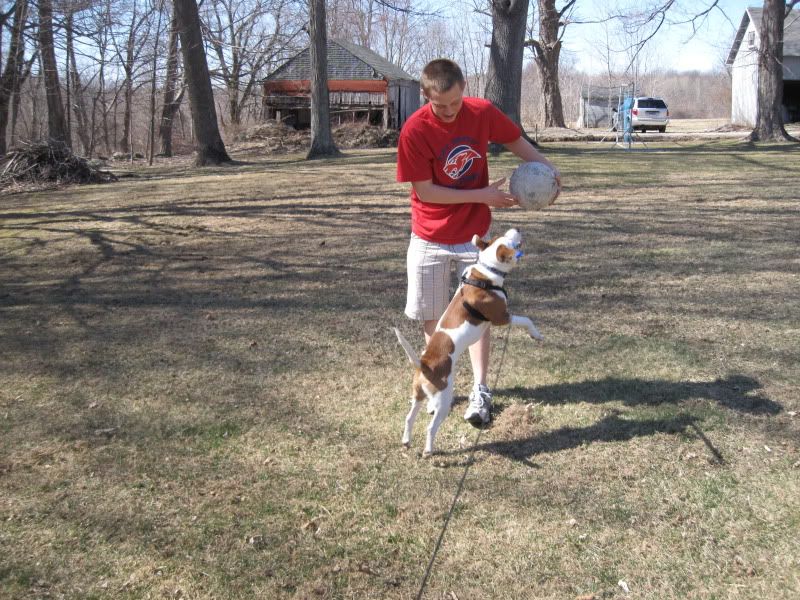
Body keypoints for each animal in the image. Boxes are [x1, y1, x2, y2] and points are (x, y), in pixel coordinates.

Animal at [394, 229, 544, 454]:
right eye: (511, 242)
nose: (516, 230)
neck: (486, 273)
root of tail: (424, 365)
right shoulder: (502, 317)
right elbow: (526, 320)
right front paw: (536, 334)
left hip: (418, 396)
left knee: (409, 418)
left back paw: (406, 441)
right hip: (443, 400)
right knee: (430, 427)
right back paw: (429, 450)